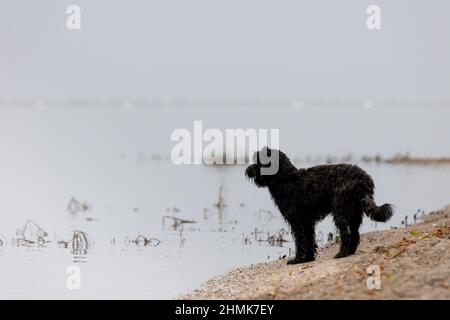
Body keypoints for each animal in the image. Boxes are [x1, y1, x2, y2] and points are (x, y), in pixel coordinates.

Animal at [246, 149, 394, 264]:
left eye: (258, 160)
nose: (247, 170)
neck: (286, 178)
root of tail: (363, 178)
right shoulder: (307, 222)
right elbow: (309, 240)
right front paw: (308, 259)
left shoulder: (297, 221)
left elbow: (300, 241)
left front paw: (297, 260)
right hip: (354, 213)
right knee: (355, 234)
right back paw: (350, 252)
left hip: (341, 212)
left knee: (346, 235)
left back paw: (341, 254)